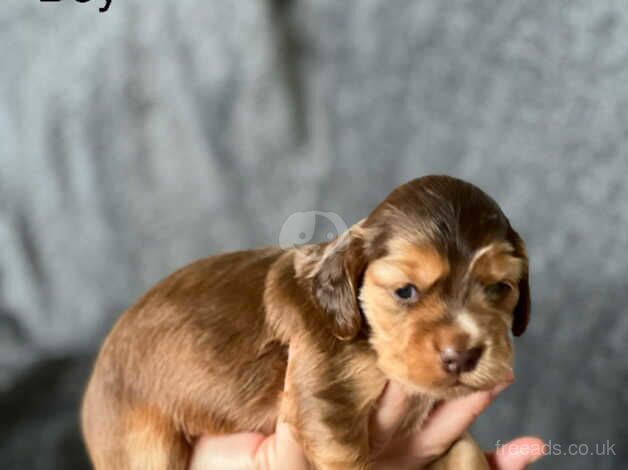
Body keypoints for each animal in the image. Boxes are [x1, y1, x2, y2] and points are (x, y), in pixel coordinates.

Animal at [81, 176, 528, 470]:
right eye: (405, 291)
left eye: (499, 288)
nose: (463, 356)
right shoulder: (328, 399)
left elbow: (466, 453)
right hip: (141, 447)